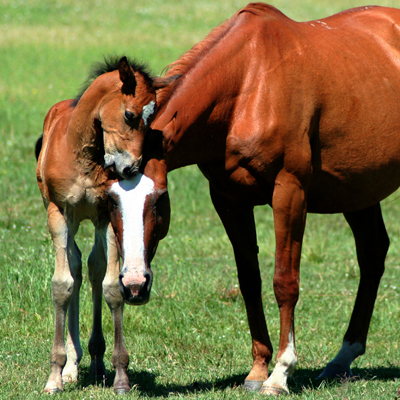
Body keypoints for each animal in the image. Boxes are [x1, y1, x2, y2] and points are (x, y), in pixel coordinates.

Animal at [35, 57, 175, 394]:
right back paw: (72, 366)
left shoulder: (105, 213)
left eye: (152, 120)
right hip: (67, 217)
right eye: (130, 115)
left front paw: (120, 375)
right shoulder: (58, 212)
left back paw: (96, 361)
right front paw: (55, 375)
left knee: (93, 267)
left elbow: (111, 286)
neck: (81, 154)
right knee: (74, 266)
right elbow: (62, 284)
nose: (131, 168)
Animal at [115, 3, 400, 396]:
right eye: (110, 202)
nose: (133, 285)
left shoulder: (290, 192)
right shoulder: (228, 199)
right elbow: (250, 281)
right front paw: (257, 369)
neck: (249, 84)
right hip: (358, 189)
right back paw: (342, 359)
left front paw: (280, 373)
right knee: (372, 253)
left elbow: (285, 281)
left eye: (158, 200)